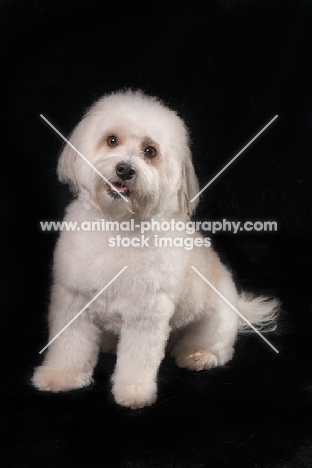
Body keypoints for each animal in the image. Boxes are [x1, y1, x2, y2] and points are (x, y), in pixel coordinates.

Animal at [33, 89, 280, 408]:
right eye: (112, 140)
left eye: (150, 151)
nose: (125, 169)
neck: (118, 228)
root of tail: (238, 306)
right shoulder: (73, 299)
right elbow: (69, 345)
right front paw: (61, 377)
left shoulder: (146, 313)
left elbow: (138, 357)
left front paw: (133, 392)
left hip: (215, 322)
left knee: (217, 348)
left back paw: (199, 356)